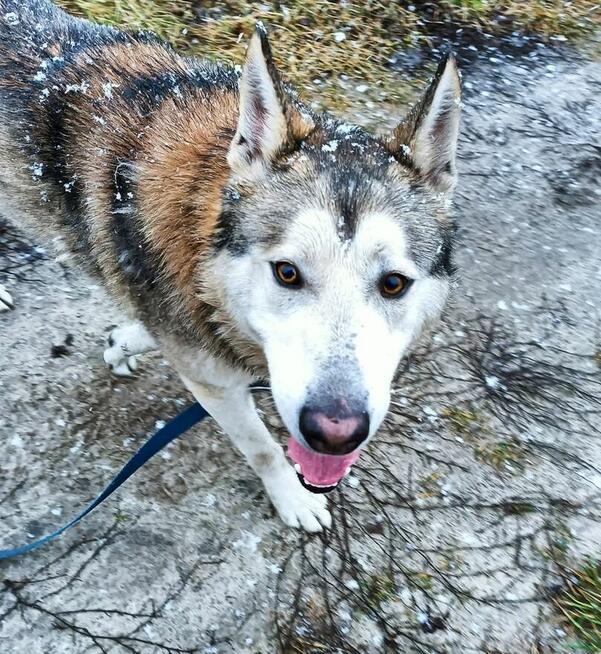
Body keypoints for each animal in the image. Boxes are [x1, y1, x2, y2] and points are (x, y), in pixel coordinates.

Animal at [0, 0, 460, 532]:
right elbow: (262, 449)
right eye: (287, 272)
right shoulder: (216, 388)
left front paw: (123, 342)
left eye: (393, 283)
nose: (335, 433)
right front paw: (292, 498)